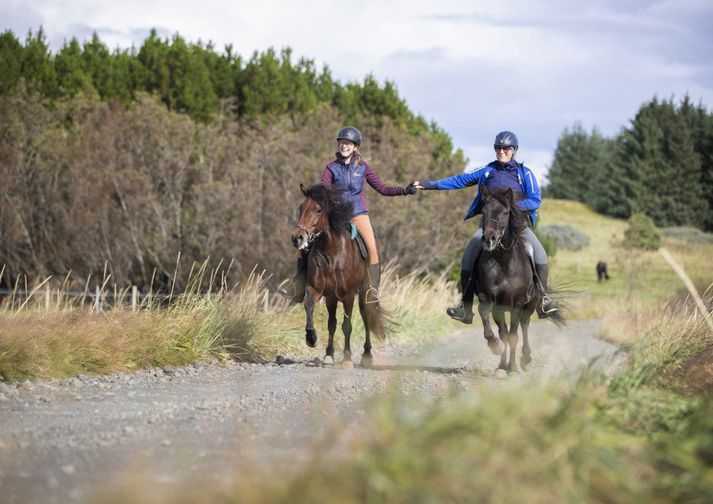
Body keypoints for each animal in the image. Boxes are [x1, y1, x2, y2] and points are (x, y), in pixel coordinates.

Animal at [290, 183, 386, 368]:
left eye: (318, 210)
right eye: (300, 208)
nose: (297, 238)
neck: (331, 253)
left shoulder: (348, 295)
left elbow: (347, 325)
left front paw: (347, 359)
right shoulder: (318, 290)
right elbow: (312, 309)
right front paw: (312, 339)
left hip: (364, 293)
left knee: (366, 317)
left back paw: (367, 355)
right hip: (332, 298)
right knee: (332, 323)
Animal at [476, 187, 564, 372]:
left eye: (505, 212)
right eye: (483, 211)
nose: (489, 239)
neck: (503, 261)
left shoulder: (517, 302)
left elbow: (513, 336)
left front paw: (512, 368)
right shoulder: (490, 299)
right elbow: (499, 331)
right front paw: (499, 358)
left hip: (530, 304)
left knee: (524, 325)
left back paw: (526, 357)